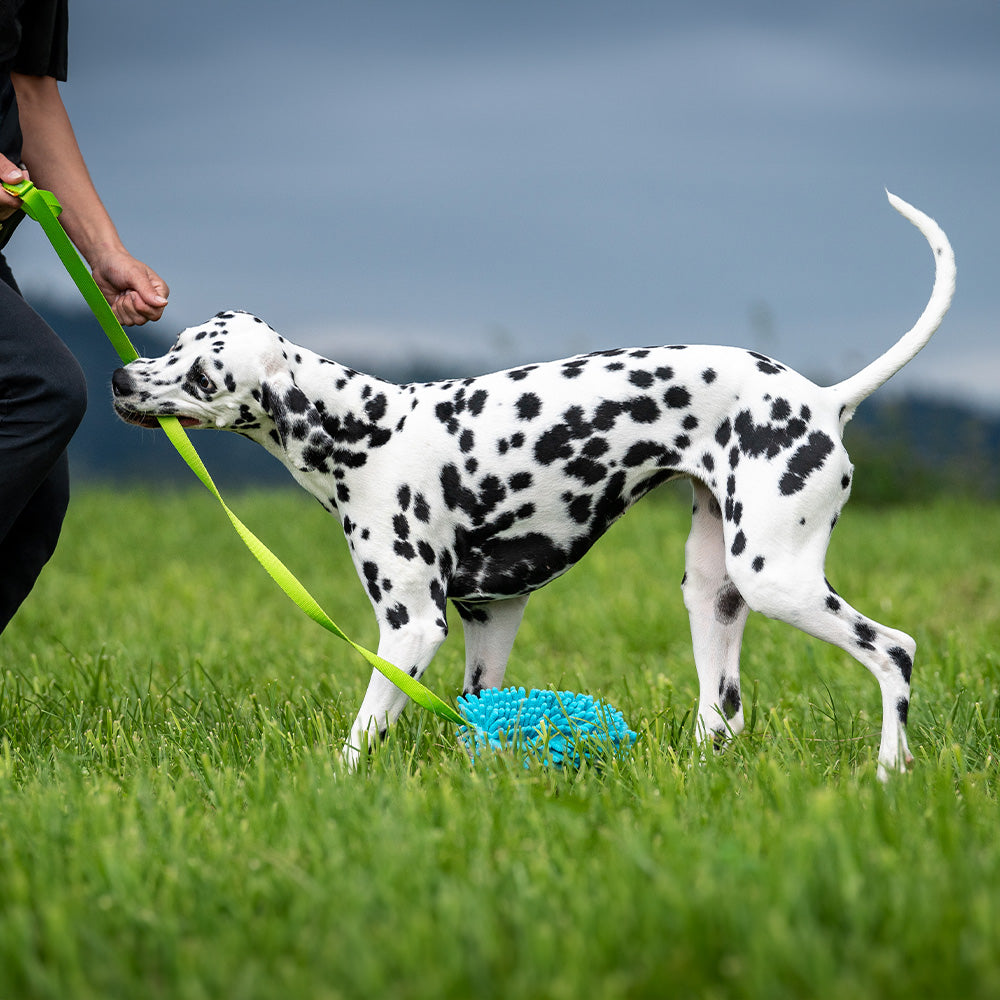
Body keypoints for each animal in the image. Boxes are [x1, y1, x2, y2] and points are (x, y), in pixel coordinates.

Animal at [113, 191, 956, 776]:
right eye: (179, 341)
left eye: (200, 374)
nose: (121, 379)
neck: (370, 429)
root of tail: (825, 399)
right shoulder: (491, 618)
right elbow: (474, 720)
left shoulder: (411, 628)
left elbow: (362, 733)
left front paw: (335, 786)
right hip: (713, 592)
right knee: (724, 714)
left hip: (777, 578)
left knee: (895, 651)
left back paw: (890, 769)